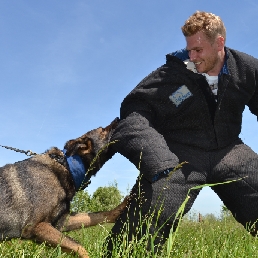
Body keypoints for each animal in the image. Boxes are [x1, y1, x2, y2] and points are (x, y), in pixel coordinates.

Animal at [0, 117, 127, 258]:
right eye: (103, 130)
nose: (118, 118)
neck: (68, 166)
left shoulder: (61, 222)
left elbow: (95, 216)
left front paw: (119, 209)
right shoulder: (36, 226)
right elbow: (79, 246)